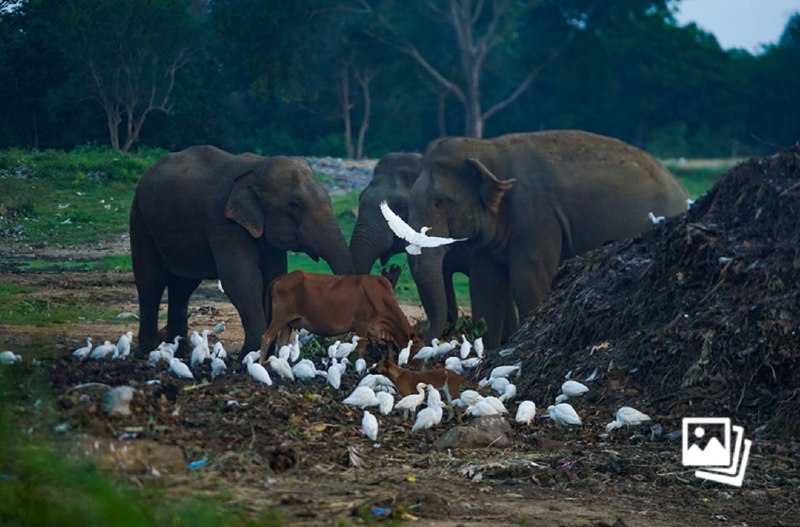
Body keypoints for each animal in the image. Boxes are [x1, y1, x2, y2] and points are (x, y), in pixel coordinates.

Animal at [130, 145, 355, 355]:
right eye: (295, 205)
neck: (257, 167)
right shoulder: (222, 222)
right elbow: (242, 281)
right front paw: (251, 354)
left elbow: (273, 277)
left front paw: (265, 352)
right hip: (139, 216)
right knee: (150, 280)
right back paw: (148, 350)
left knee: (182, 286)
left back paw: (181, 352)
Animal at [406, 130, 690, 350]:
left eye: (440, 202)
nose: (419, 333)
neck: (486, 148)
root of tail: (683, 192)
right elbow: (485, 285)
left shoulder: (536, 219)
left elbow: (528, 281)